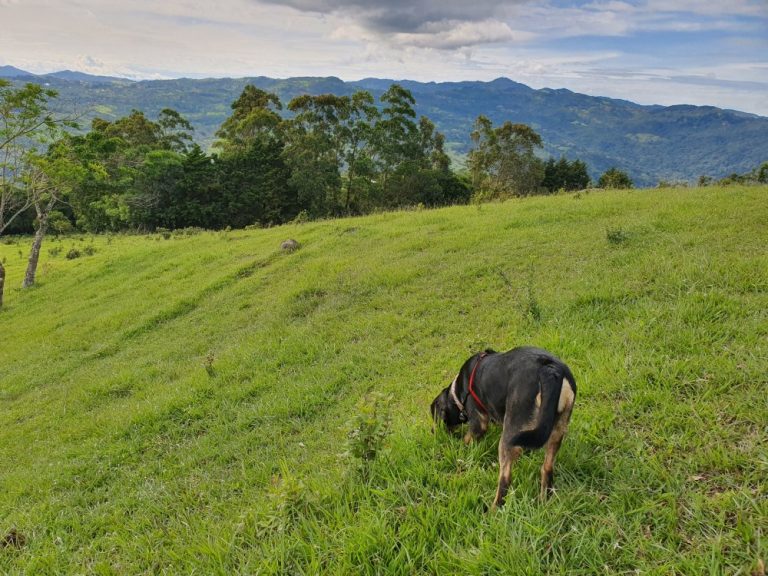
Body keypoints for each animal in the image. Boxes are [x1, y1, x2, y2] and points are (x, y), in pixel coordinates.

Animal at [432, 346, 576, 508]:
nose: (433, 432)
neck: (458, 391)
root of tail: (550, 370)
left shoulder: (479, 423)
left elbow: (467, 439)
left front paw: (460, 450)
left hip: (508, 435)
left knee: (505, 479)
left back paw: (494, 509)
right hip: (557, 430)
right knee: (547, 468)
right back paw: (544, 501)